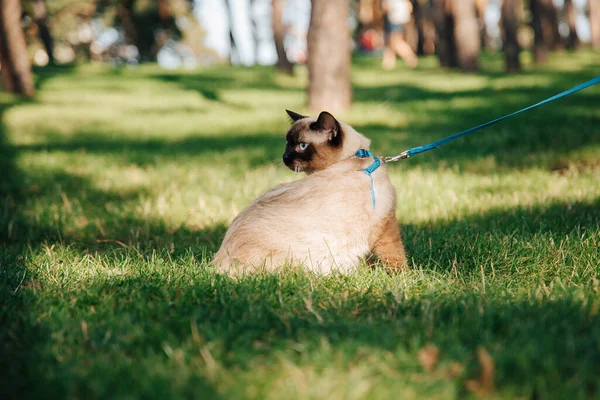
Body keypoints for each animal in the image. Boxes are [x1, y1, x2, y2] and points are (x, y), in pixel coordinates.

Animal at [212, 109, 408, 276]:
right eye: (288, 144)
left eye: (302, 145)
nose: (285, 158)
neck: (355, 158)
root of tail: (217, 264)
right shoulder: (386, 225)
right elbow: (396, 257)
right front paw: (403, 276)